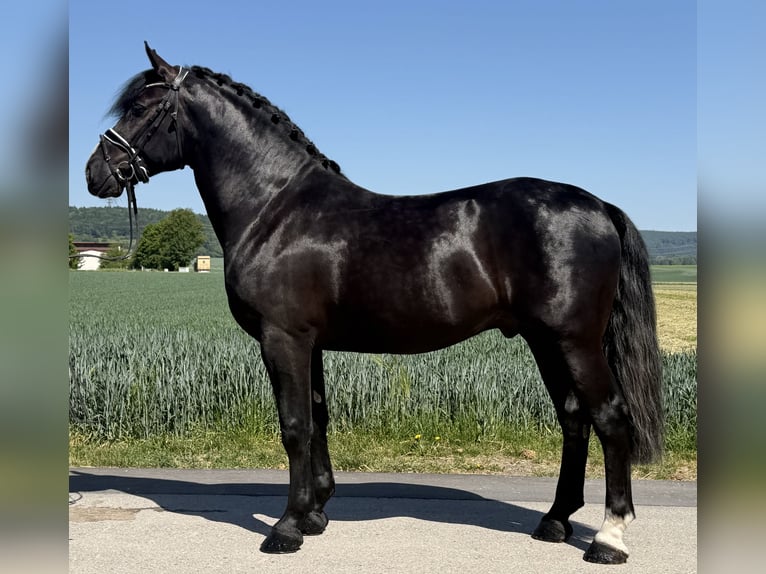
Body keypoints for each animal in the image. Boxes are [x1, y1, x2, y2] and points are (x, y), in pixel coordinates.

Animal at [85, 43, 663, 565]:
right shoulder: (310, 344)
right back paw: (555, 521)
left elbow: (293, 427)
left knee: (611, 418)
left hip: (575, 341)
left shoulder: (283, 339)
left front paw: (285, 528)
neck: (276, 208)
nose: (95, 173)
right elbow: (317, 419)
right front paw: (315, 514)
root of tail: (599, 205)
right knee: (574, 419)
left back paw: (609, 539)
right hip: (545, 342)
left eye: (141, 108)